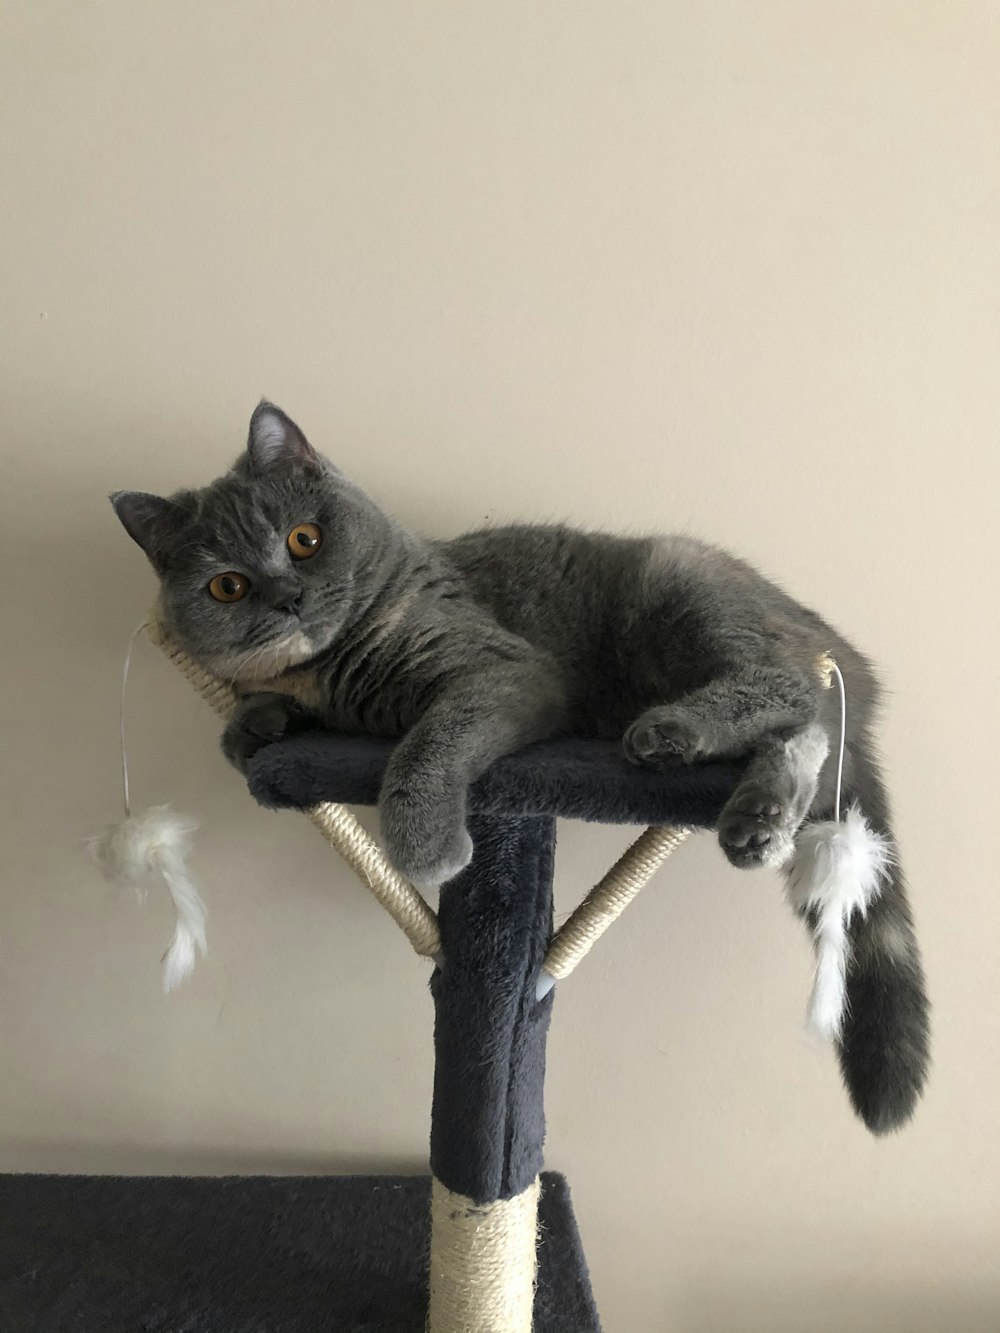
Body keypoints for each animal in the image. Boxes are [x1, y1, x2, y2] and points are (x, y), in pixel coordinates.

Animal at [111, 399, 933, 1130]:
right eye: (228, 585)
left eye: (304, 539)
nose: (287, 597)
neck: (334, 667)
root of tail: (841, 648)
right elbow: (257, 720)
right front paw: (255, 724)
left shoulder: (502, 670)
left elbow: (428, 738)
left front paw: (423, 842)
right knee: (808, 733)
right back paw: (757, 819)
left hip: (685, 592)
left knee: (791, 690)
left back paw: (672, 732)